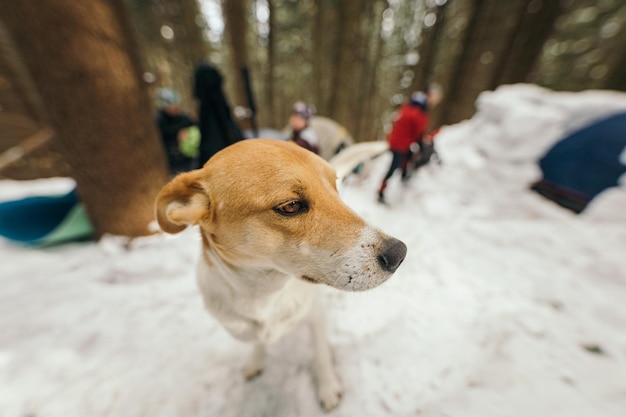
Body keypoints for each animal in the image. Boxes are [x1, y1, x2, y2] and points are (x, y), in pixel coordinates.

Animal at [155, 139, 404, 410]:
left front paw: (328, 388)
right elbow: (258, 340)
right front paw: (256, 359)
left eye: (334, 187)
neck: (264, 294)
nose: (399, 253)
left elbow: (321, 354)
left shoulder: (316, 316)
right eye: (290, 205)